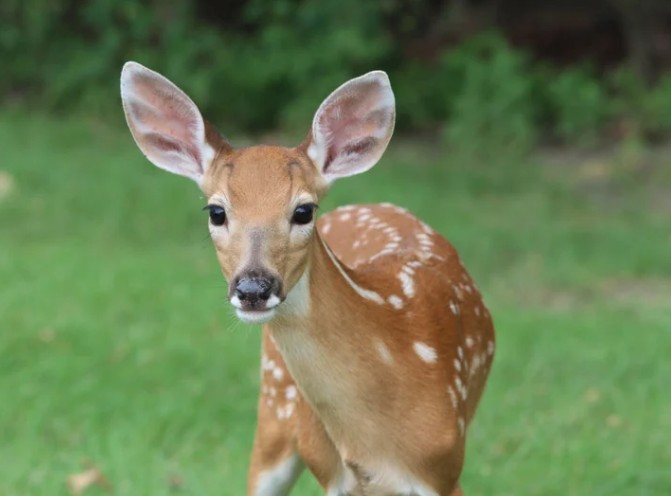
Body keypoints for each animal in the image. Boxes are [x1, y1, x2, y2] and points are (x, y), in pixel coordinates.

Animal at [120, 61, 495, 496]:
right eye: (216, 211)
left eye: (303, 211)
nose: (253, 288)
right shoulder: (331, 474)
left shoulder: (444, 469)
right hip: (275, 407)